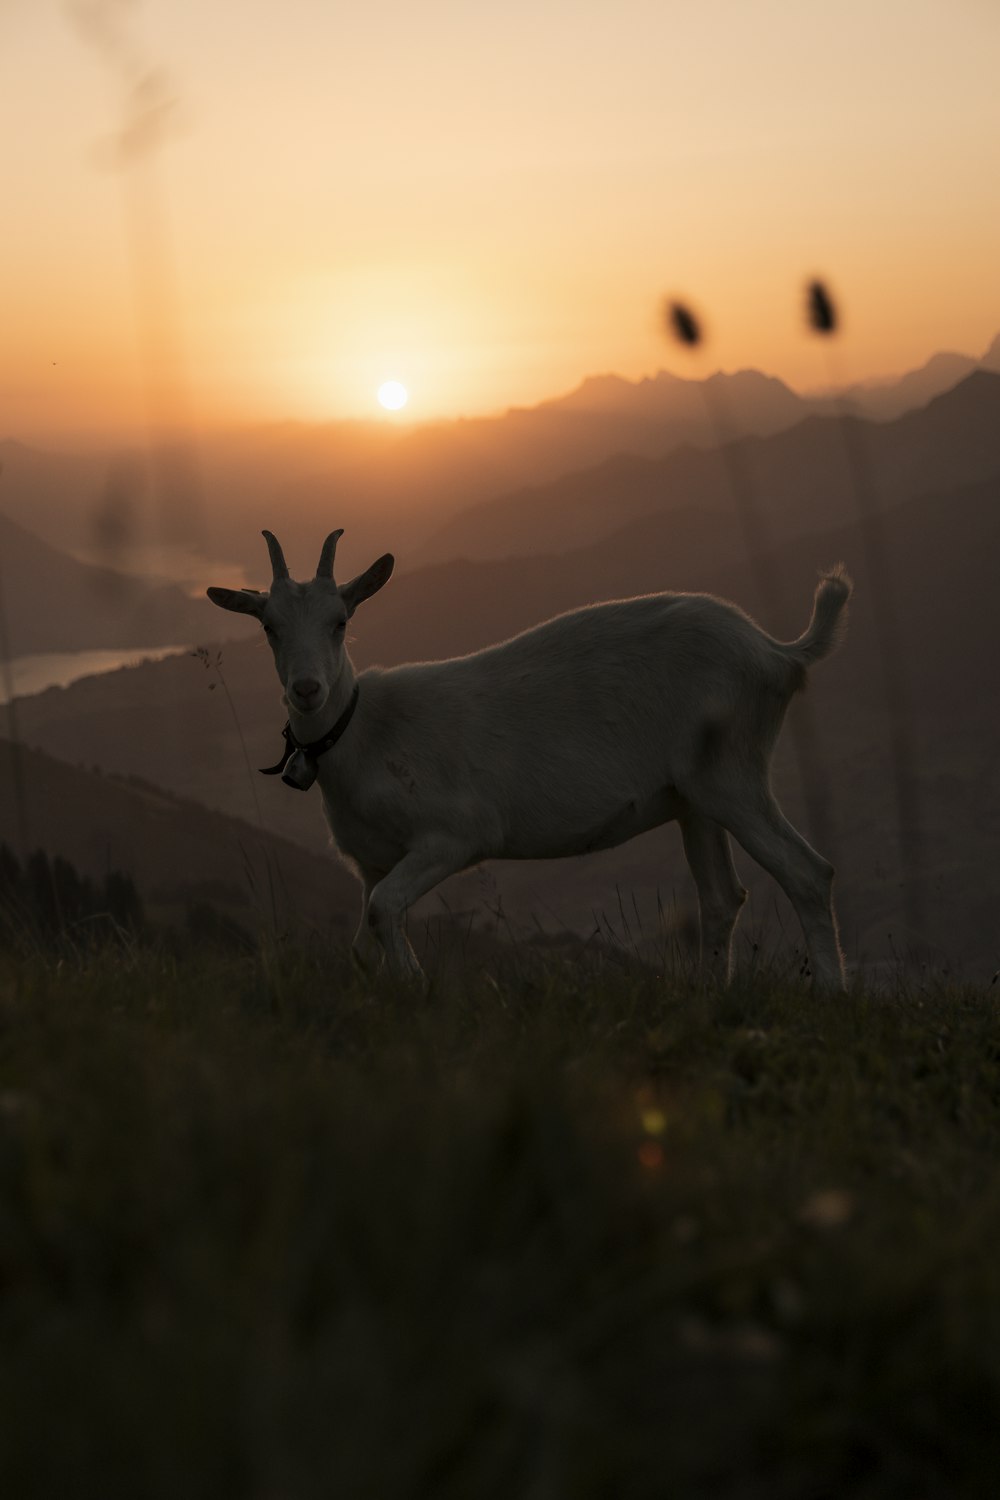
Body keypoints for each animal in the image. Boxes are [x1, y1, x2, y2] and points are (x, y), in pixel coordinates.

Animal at [211, 534, 851, 990]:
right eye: (269, 627)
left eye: (340, 622)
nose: (307, 690)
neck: (365, 732)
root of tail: (777, 651)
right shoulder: (370, 861)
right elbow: (367, 930)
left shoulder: (453, 835)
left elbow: (386, 908)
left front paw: (417, 984)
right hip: (693, 799)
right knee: (722, 897)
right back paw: (712, 994)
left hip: (732, 773)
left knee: (807, 871)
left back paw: (832, 994)